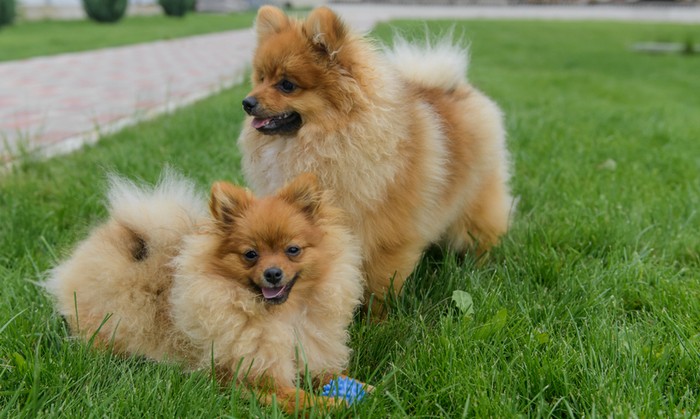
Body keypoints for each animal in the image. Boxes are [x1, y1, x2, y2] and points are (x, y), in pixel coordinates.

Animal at [237, 6, 516, 316]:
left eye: (287, 85)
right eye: (261, 78)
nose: (247, 102)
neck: (326, 142)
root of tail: (456, 87)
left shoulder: (387, 235)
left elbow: (380, 284)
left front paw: (376, 320)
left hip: (476, 197)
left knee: (481, 230)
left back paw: (479, 264)